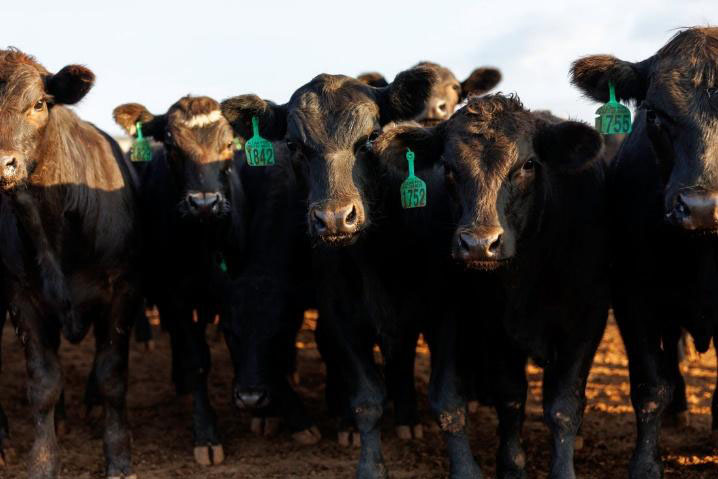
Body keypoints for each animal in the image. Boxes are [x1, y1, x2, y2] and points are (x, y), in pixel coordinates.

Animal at [0, 48, 142, 479]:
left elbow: (113, 376)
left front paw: (119, 457)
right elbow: (43, 383)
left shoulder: (122, 290)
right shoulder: (21, 298)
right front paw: (43, 461)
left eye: (38, 104)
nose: (3, 163)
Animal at [221, 65, 500, 478]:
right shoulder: (340, 316)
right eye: (294, 145)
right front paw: (369, 462)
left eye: (370, 138)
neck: (380, 254)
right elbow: (367, 399)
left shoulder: (446, 311)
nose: (336, 218)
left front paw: (466, 468)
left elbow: (449, 400)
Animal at [371, 94, 609, 479]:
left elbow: (564, 406)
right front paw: (511, 466)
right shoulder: (494, 327)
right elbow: (511, 398)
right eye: (448, 167)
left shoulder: (586, 324)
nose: (479, 243)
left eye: (528, 164)